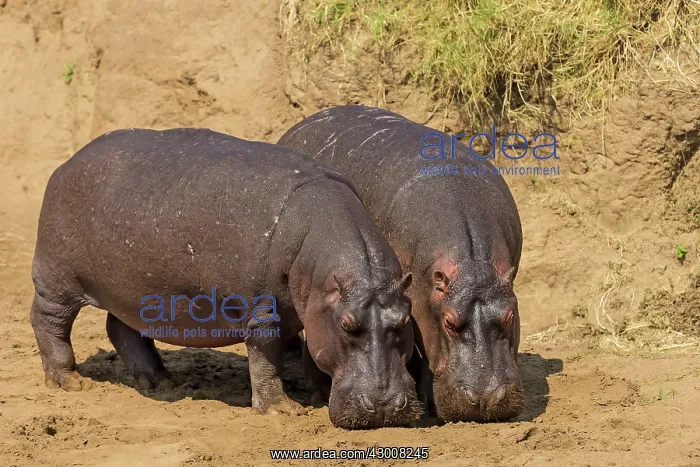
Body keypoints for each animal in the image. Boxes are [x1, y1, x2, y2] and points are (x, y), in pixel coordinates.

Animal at [30, 127, 419, 429]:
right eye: (347, 325)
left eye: (404, 322)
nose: (384, 408)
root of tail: (64, 165)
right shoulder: (264, 313)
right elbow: (265, 358)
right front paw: (281, 411)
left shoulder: (311, 309)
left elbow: (310, 350)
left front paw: (318, 394)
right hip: (57, 280)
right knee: (48, 322)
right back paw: (71, 382)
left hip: (131, 290)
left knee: (122, 329)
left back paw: (160, 381)